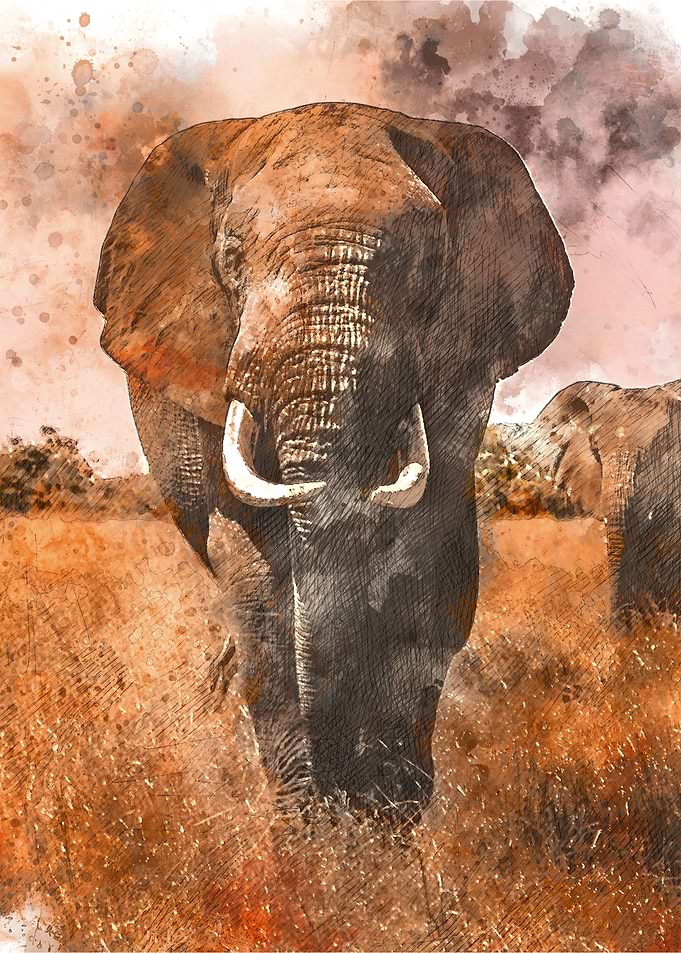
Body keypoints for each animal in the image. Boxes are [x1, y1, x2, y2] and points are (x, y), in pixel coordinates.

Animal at [94, 102, 574, 823]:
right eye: (230, 256)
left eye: (428, 261)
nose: (339, 797)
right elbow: (257, 573)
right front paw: (309, 829)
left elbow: (428, 556)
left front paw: (390, 817)